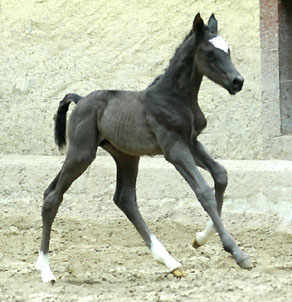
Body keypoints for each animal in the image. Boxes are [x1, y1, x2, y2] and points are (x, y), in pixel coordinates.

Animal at [36, 13, 252, 284]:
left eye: (228, 50)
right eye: (210, 53)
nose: (237, 81)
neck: (175, 97)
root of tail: (80, 99)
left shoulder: (191, 143)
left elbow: (221, 175)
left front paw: (201, 239)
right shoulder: (174, 149)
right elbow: (203, 191)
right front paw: (237, 253)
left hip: (125, 156)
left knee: (123, 198)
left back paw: (170, 262)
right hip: (82, 153)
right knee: (53, 198)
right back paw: (46, 270)